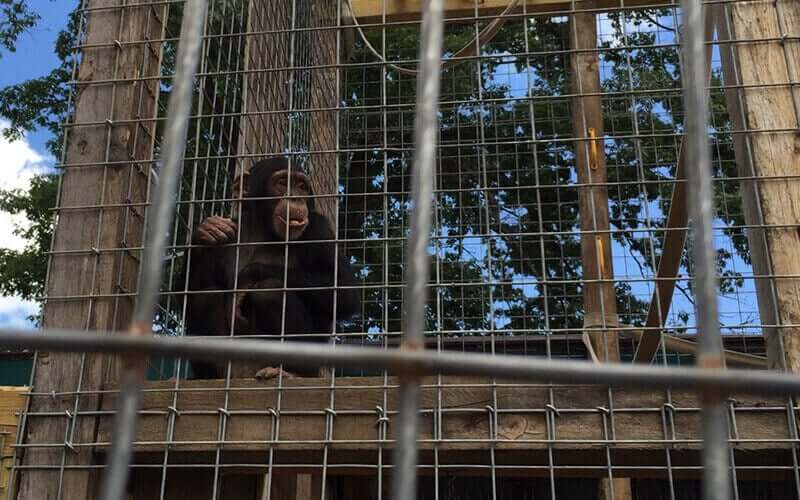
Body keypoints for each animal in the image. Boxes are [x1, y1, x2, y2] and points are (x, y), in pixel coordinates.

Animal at [184, 157, 360, 378]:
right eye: (283, 183)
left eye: (302, 186)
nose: (296, 198)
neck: (267, 231)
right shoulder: (228, 236)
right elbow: (189, 290)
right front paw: (207, 230)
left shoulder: (318, 229)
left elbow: (344, 289)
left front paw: (246, 278)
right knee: (206, 296)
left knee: (269, 291)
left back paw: (291, 372)